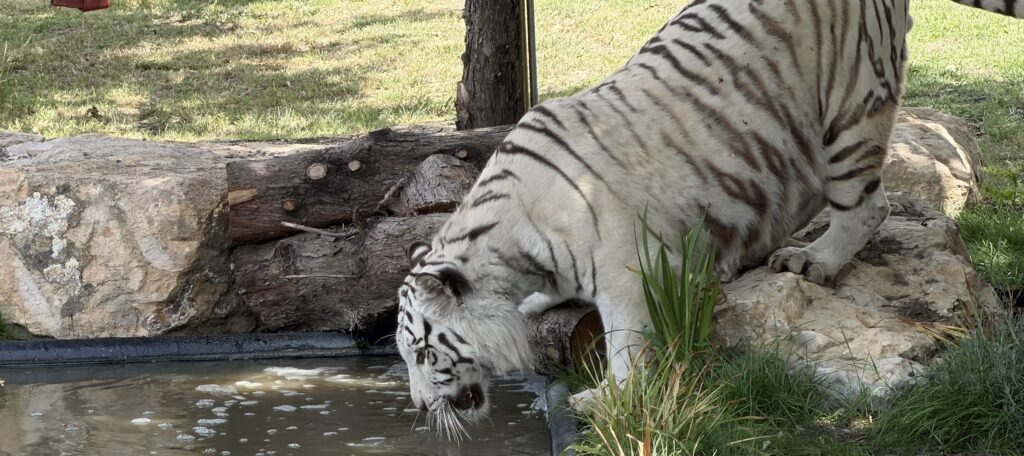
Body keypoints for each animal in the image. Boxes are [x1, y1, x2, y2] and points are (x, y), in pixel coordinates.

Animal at [394, 0, 1024, 437]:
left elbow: (627, 349)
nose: (419, 407)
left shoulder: (628, 271)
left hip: (849, 107)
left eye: (425, 354)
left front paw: (605, 401)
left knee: (866, 204)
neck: (507, 248)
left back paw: (812, 260)